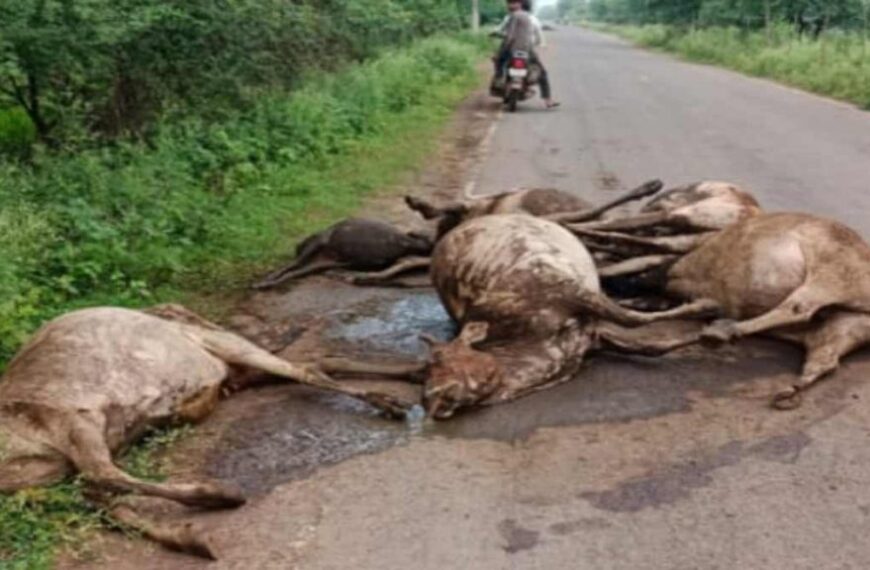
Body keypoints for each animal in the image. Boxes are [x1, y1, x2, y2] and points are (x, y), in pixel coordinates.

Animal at [0, 304, 408, 556]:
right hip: (236, 368)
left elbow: (106, 480)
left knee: (305, 369)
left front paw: (219, 496)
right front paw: (187, 539)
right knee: (316, 361)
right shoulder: (57, 469)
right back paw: (411, 374)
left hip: (218, 341)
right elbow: (106, 503)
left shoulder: (74, 419)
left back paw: (392, 398)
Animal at [252, 217, 432, 288]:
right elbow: (293, 270)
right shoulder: (326, 261)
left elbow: (292, 268)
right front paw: (268, 280)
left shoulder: (319, 245)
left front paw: (266, 281)